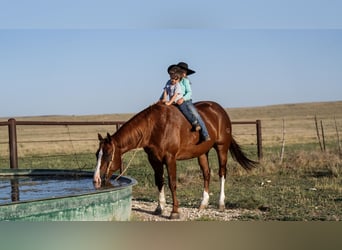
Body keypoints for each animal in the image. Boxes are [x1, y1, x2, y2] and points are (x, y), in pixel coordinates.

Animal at [93, 101, 256, 219]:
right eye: (97, 154)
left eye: (107, 154)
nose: (96, 179)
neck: (153, 127)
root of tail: (219, 110)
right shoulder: (154, 160)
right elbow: (160, 181)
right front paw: (160, 207)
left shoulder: (170, 159)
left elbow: (172, 183)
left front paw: (174, 211)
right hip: (202, 153)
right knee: (206, 173)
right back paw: (203, 203)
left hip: (221, 148)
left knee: (222, 172)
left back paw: (221, 203)